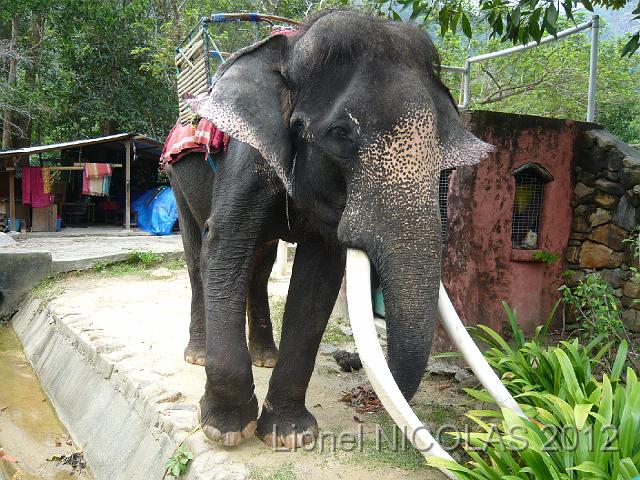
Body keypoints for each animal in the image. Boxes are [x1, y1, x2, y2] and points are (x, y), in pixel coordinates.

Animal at [166, 10, 493, 450]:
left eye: (441, 149)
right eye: (341, 134)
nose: (348, 360)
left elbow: (318, 278)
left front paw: (290, 435)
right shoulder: (246, 157)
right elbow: (223, 245)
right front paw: (225, 428)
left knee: (260, 266)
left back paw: (265, 356)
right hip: (176, 178)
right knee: (196, 257)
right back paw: (197, 354)